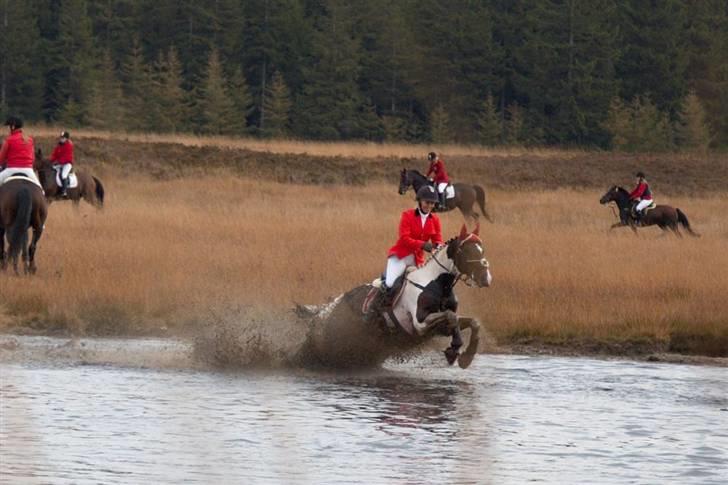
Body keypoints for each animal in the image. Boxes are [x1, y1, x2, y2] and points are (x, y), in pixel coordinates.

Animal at [298, 222, 494, 366]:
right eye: (466, 250)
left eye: (482, 249)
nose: (486, 278)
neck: (439, 284)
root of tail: (327, 308)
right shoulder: (419, 323)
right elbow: (451, 316)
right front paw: (455, 350)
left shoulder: (439, 327)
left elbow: (470, 322)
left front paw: (464, 356)